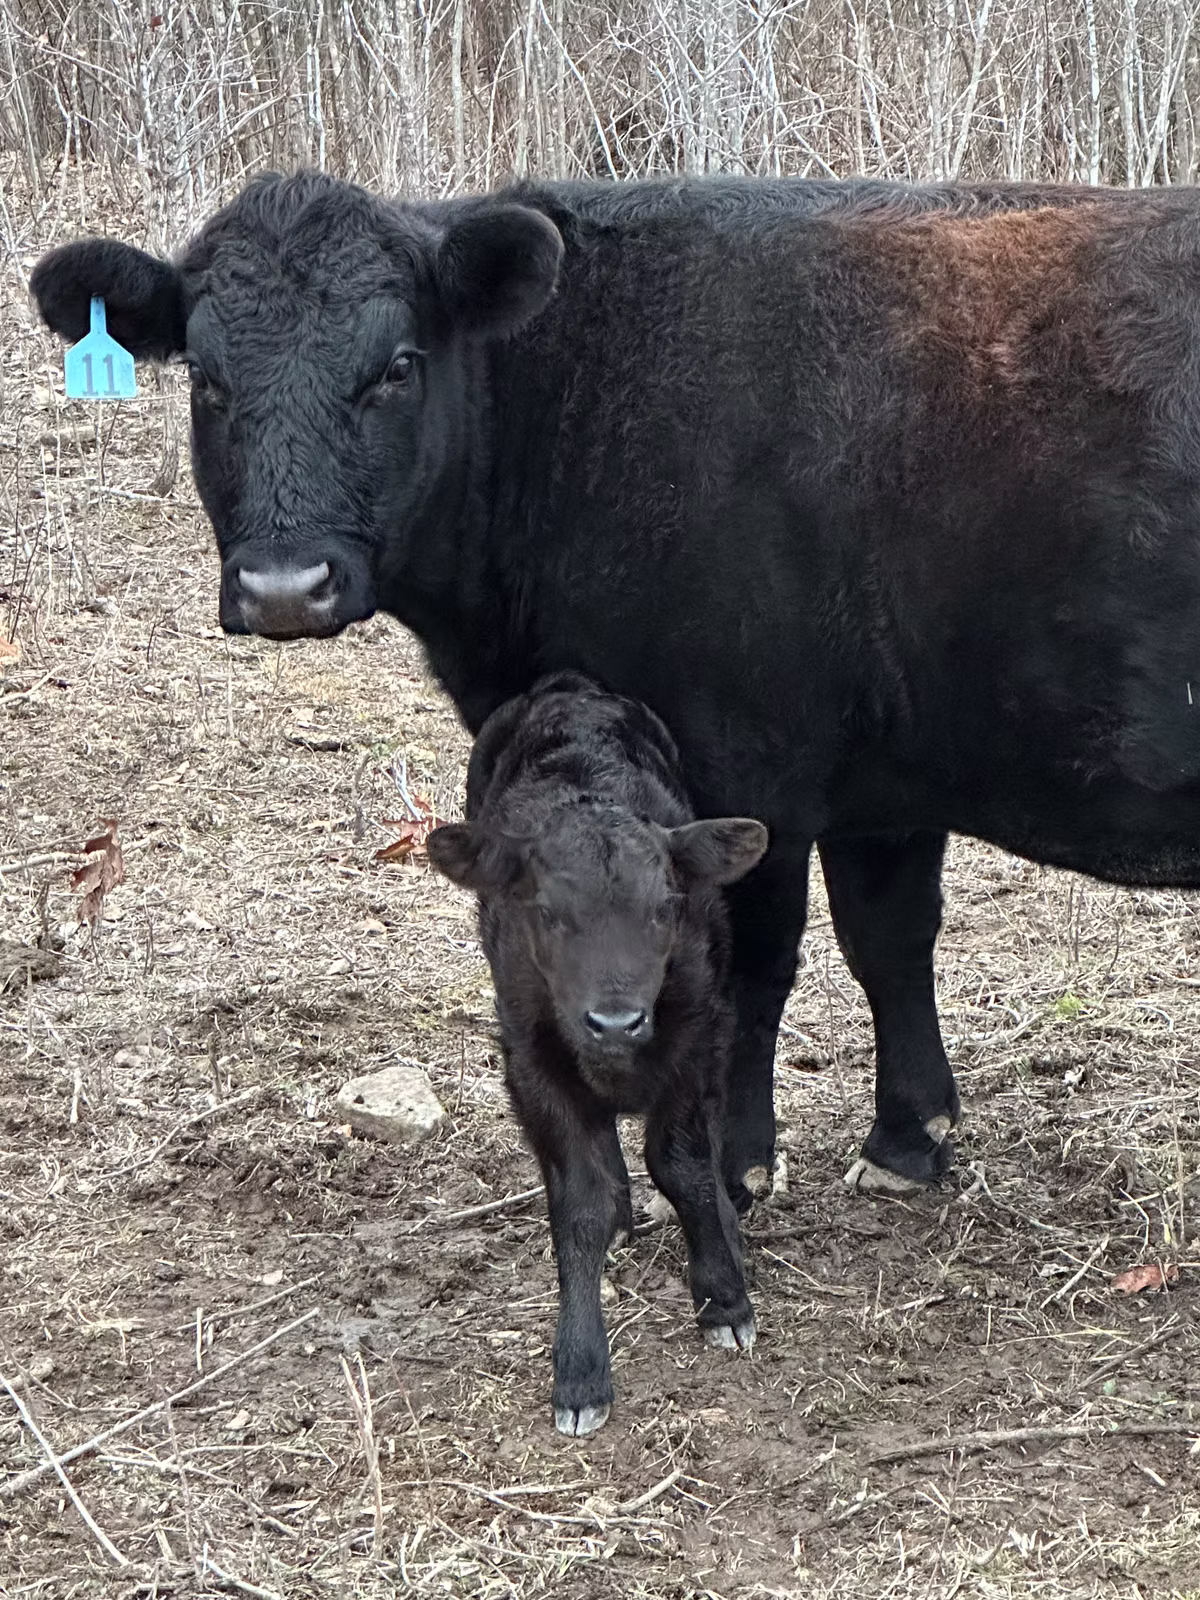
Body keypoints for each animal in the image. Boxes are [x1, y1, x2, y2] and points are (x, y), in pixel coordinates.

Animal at [30, 172, 1200, 1212]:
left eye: (398, 367)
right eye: (205, 376)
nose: (284, 586)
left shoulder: (748, 761)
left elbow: (748, 960)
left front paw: (733, 1166)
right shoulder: (887, 775)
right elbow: (891, 938)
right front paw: (908, 1141)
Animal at [426, 670, 767, 1434]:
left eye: (666, 907)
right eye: (547, 912)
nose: (615, 1021)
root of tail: (568, 688)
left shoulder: (699, 1031)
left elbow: (684, 1166)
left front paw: (723, 1295)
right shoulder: (529, 1060)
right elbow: (582, 1198)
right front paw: (580, 1368)